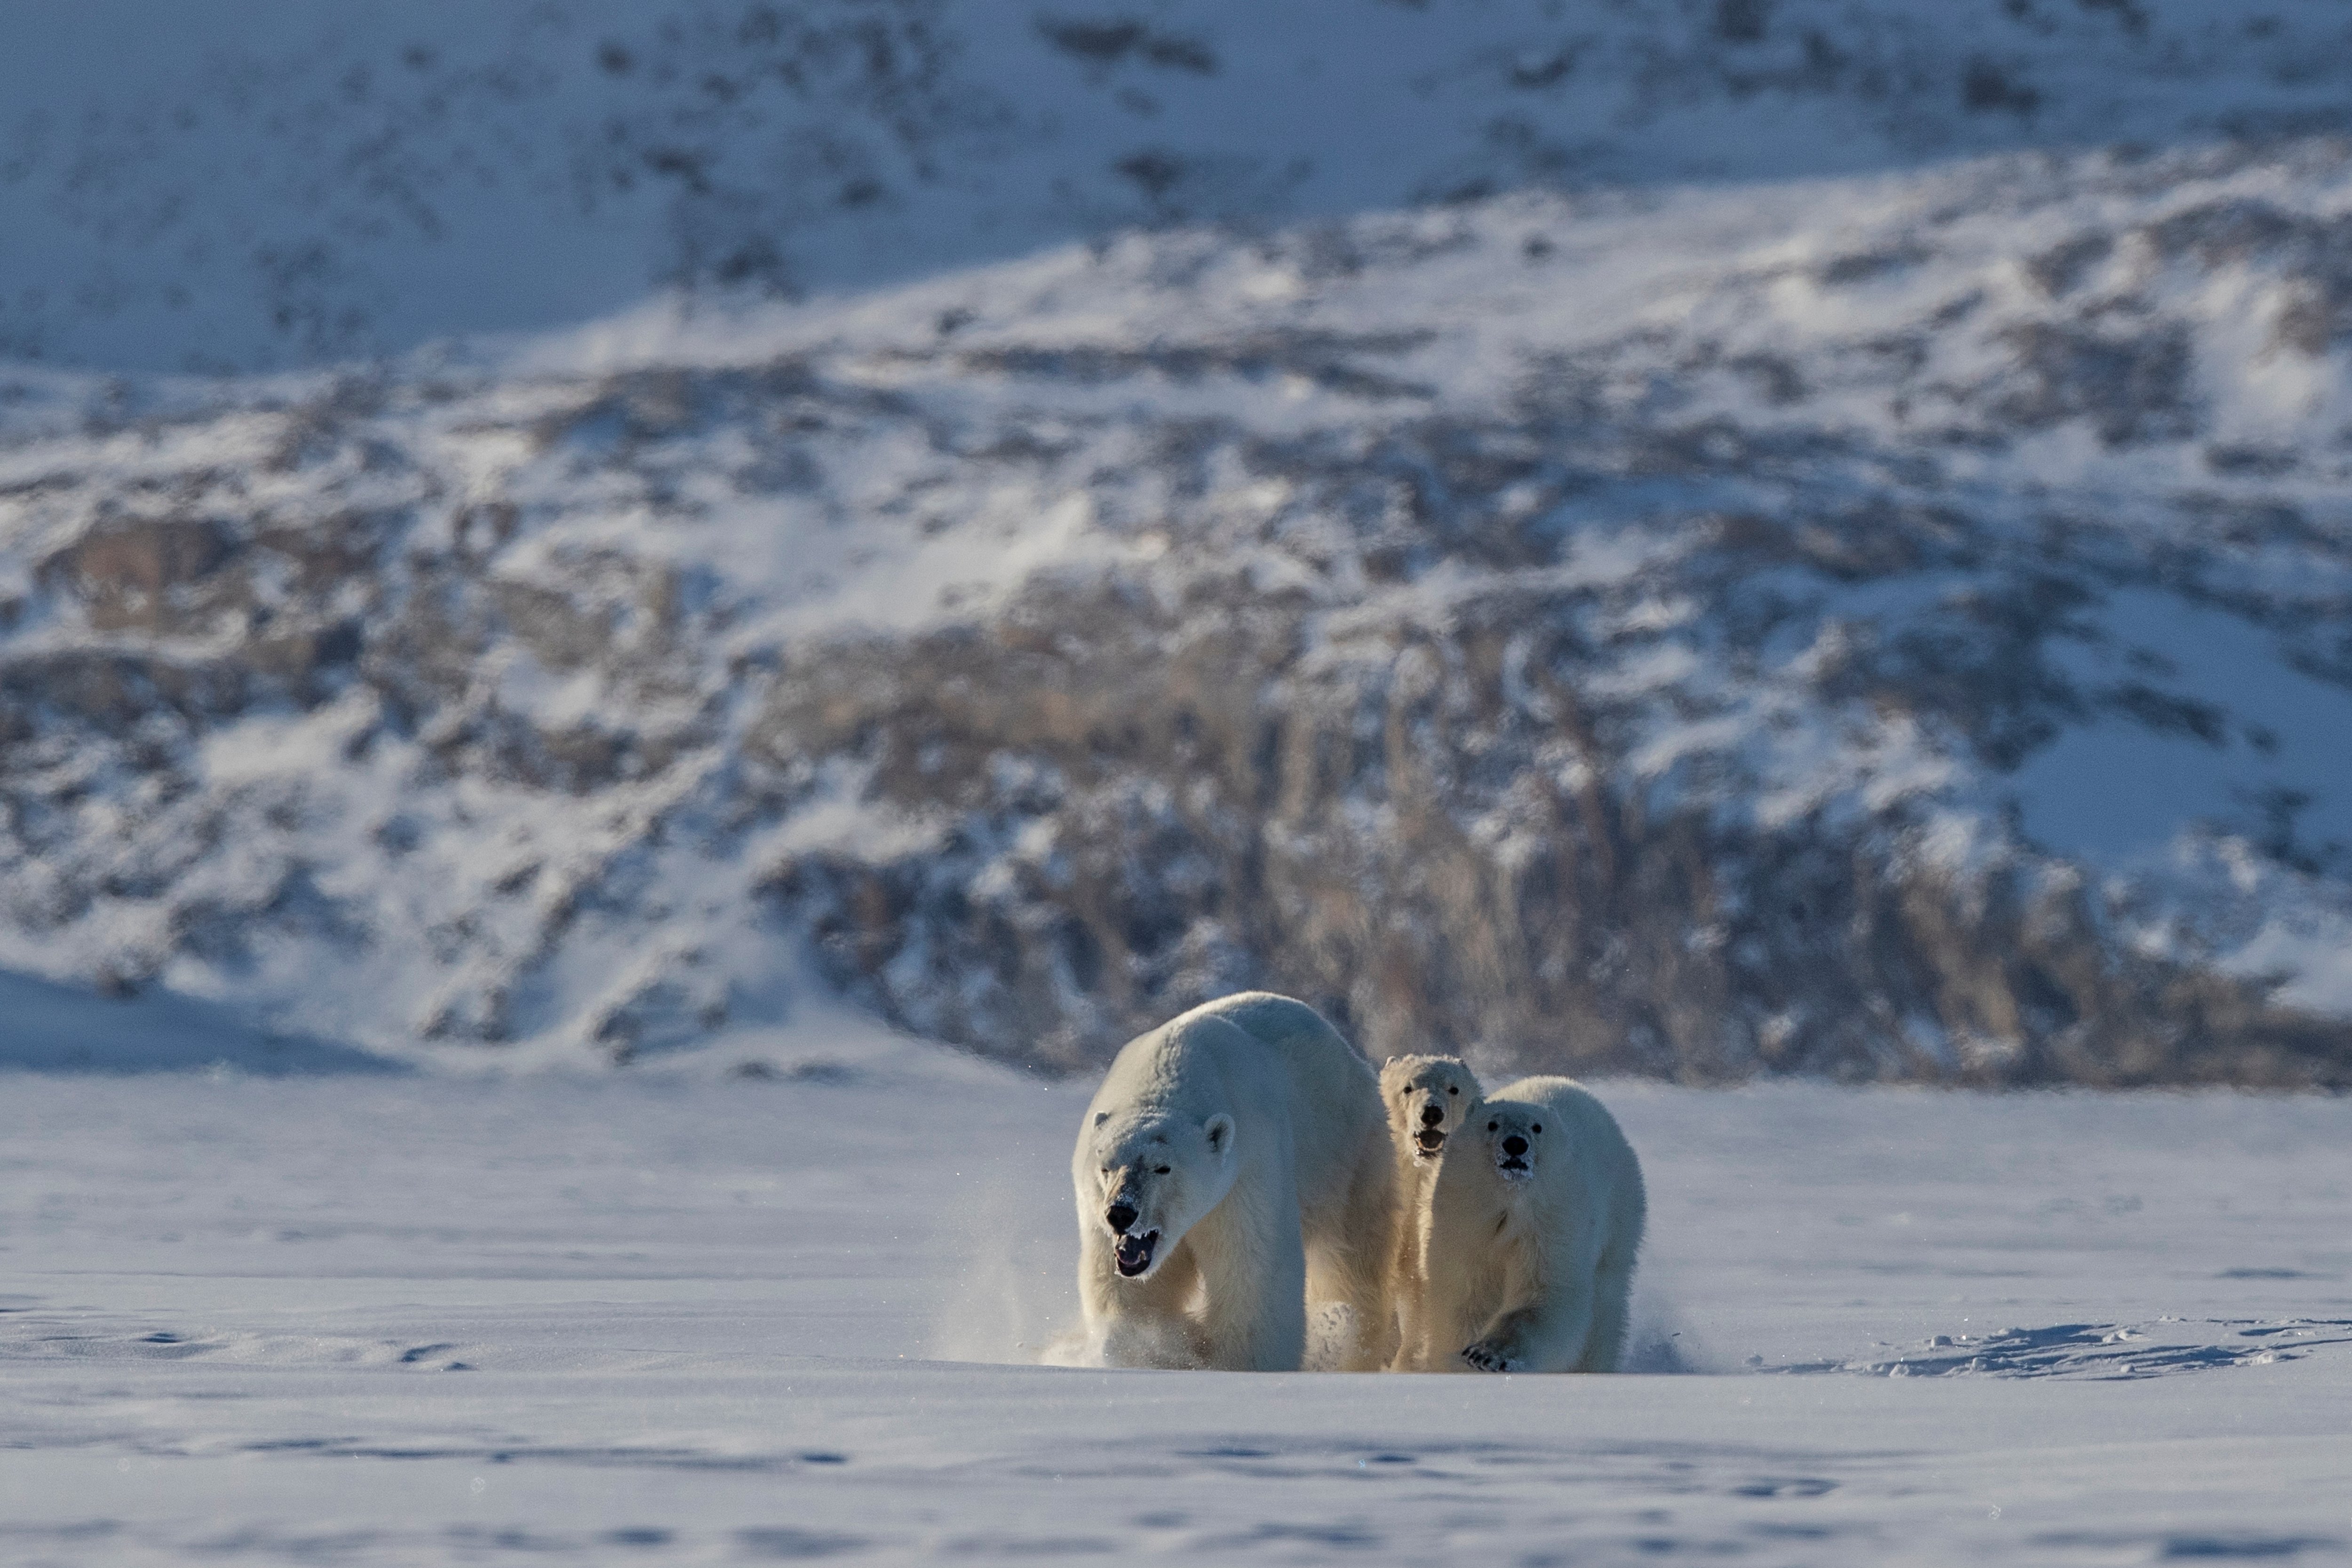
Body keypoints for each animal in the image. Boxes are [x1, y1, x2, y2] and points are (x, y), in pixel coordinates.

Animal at [1073, 1001, 1392, 1363]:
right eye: (1106, 1168)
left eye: (1163, 1168)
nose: (1121, 1212)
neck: (1169, 1073)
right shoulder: (1098, 1221)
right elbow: (1133, 1294)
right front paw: (1154, 1348)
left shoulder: (1245, 1176)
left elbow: (1252, 1275)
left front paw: (1239, 1363)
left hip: (1349, 1158)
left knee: (1350, 1261)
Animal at [1402, 1081, 1646, 1373]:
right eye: (1492, 1124)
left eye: (1537, 1127)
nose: (1516, 1144)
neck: (1511, 1200)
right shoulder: (1466, 1219)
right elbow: (1466, 1294)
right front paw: (1460, 1359)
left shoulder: (1551, 1221)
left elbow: (1542, 1292)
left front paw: (1486, 1354)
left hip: (1618, 1217)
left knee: (1604, 1308)